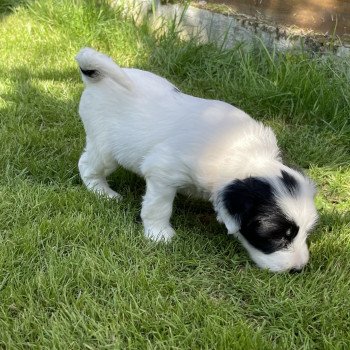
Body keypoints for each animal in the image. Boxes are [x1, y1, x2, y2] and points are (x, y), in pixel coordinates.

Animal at [75, 47, 318, 274]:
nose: (298, 269)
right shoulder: (163, 171)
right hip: (105, 149)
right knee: (87, 165)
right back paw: (103, 192)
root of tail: (97, 78)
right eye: (279, 235)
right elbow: (158, 206)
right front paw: (159, 234)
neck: (245, 153)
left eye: (305, 232)